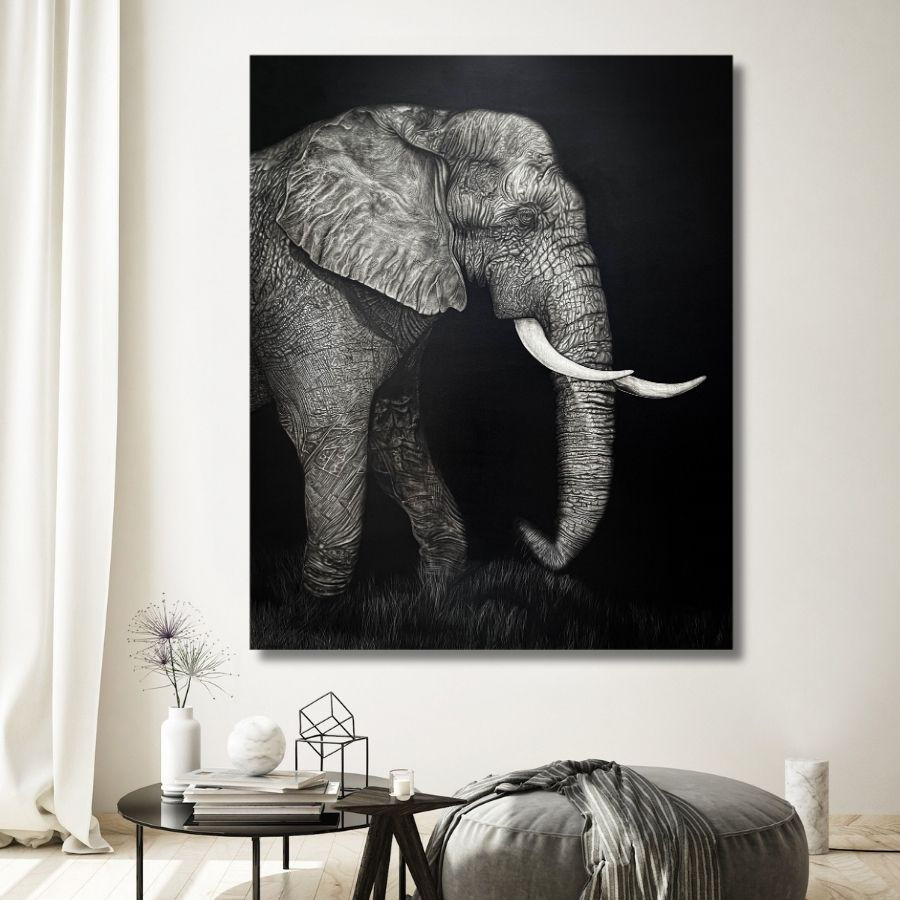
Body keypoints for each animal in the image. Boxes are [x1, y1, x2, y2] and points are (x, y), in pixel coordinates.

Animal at [250, 105, 705, 598]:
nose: (524, 530)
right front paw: (320, 606)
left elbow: (392, 432)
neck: (427, 130)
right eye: (525, 221)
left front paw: (435, 593)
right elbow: (330, 431)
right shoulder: (302, 285)